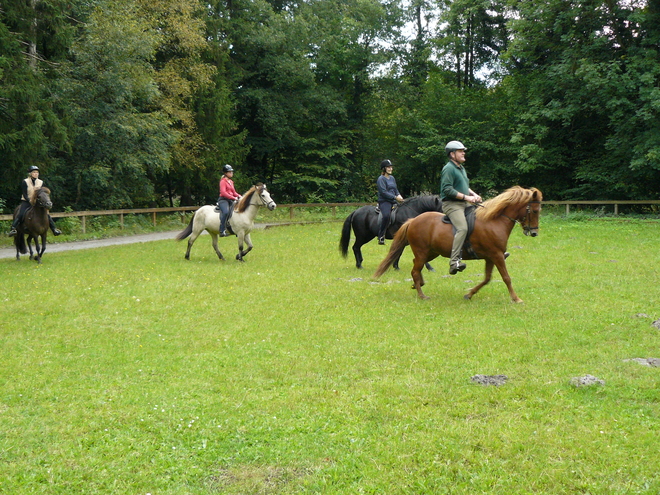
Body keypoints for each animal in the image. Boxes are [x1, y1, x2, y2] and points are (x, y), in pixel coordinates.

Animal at [374, 186, 544, 302]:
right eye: (535, 211)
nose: (534, 233)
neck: (494, 221)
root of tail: (413, 220)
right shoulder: (497, 255)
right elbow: (506, 277)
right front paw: (516, 299)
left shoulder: (490, 257)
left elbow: (487, 278)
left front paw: (469, 294)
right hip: (422, 251)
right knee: (415, 270)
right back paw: (422, 295)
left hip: (432, 252)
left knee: (416, 264)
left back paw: (418, 284)